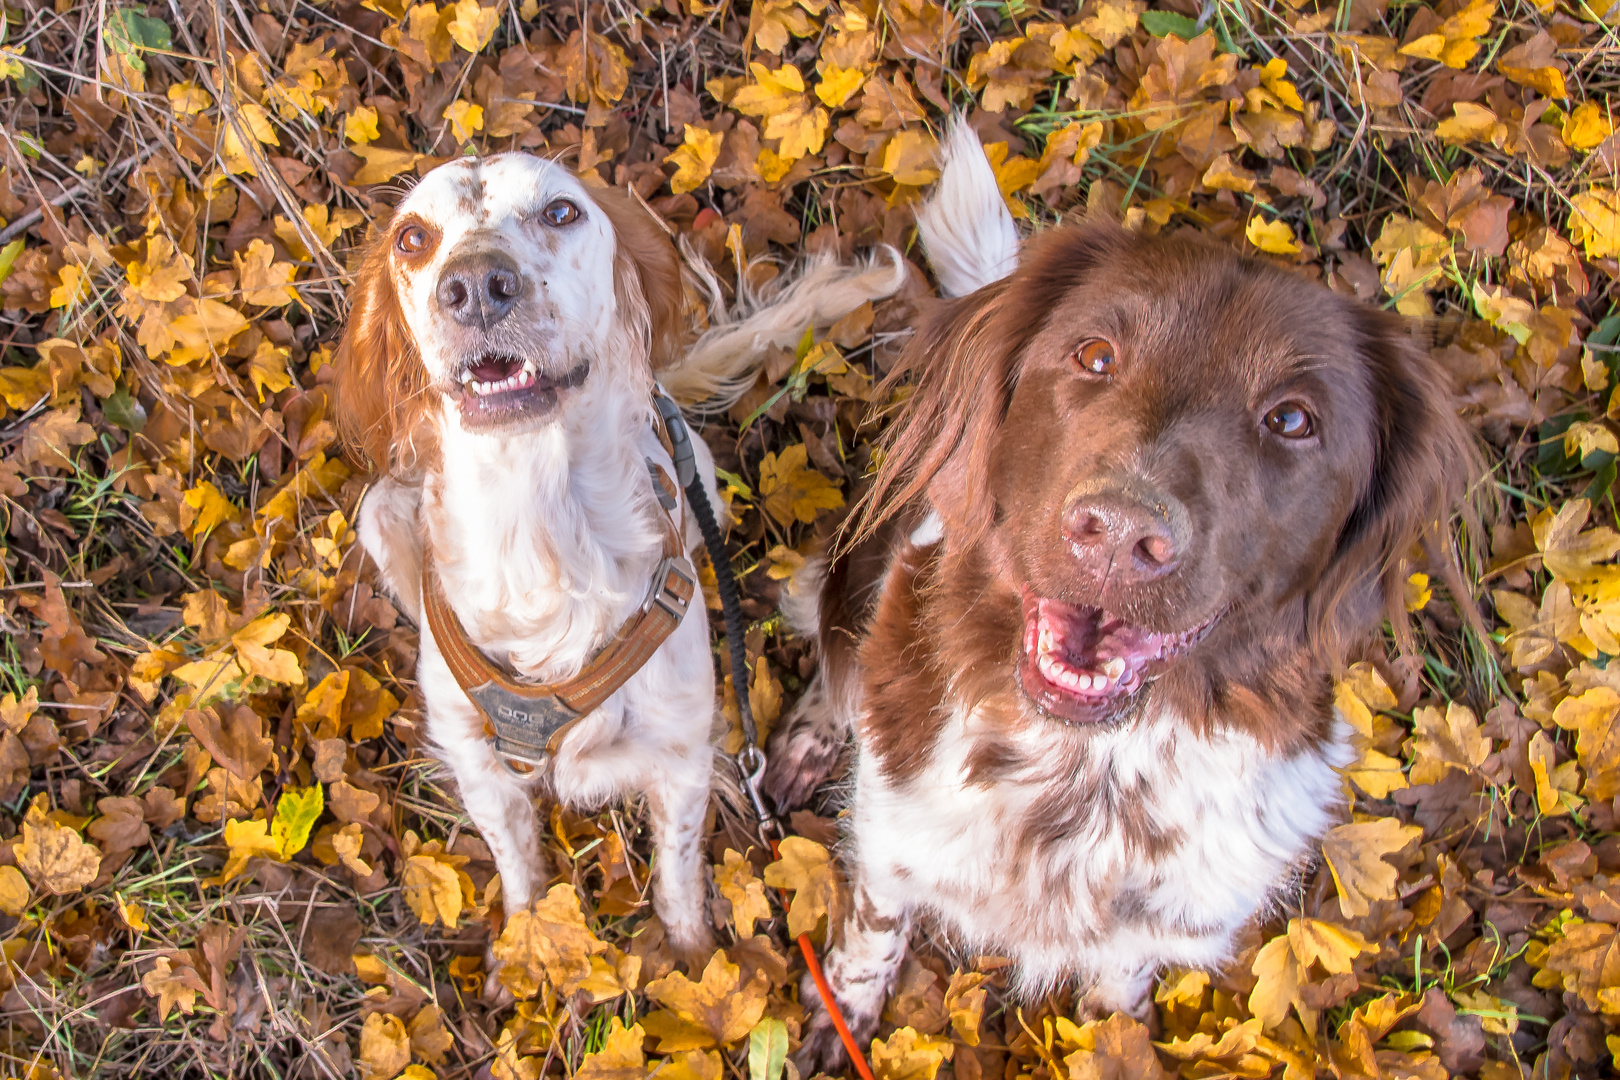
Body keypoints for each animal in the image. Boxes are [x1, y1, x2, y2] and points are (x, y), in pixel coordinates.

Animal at [336, 153, 900, 952]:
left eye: (561, 212)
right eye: (412, 238)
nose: (475, 286)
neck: (539, 530)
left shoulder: (682, 754)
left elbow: (679, 878)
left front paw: (694, 962)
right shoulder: (482, 768)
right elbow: (519, 868)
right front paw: (524, 952)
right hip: (380, 509)